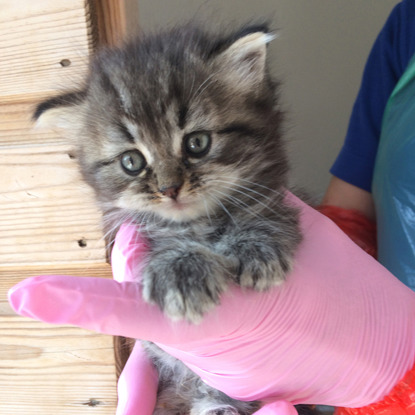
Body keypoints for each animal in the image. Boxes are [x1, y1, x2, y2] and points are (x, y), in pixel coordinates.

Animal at [35, 22, 302, 415]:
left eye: (197, 143)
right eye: (131, 161)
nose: (170, 188)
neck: (200, 224)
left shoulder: (273, 195)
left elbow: (264, 213)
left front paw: (257, 247)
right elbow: (169, 247)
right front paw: (182, 271)